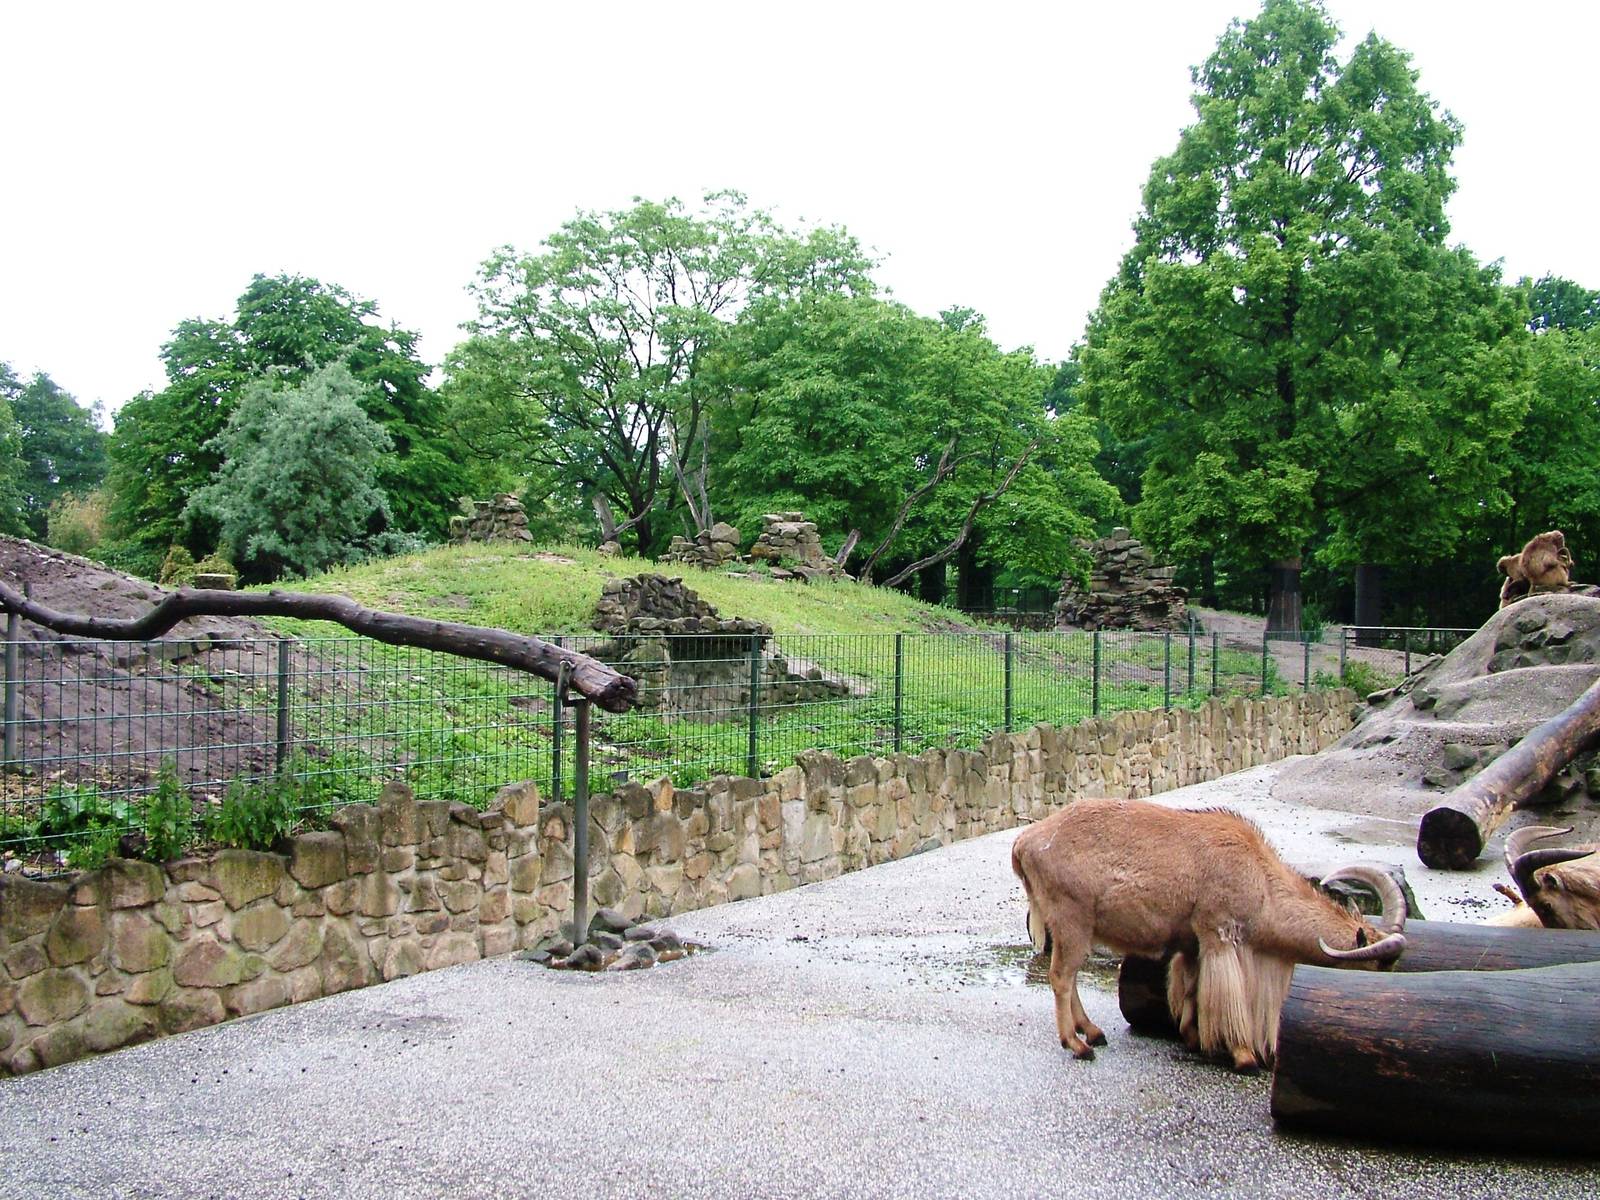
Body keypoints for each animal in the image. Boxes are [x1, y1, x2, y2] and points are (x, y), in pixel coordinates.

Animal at [1011, 797, 1405, 1073]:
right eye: (1379, 964)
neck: (1261, 881)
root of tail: (1024, 843)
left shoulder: (1190, 944)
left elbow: (1190, 989)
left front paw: (1191, 1037)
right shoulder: (1218, 933)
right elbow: (1226, 996)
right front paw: (1244, 1056)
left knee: (1071, 976)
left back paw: (1093, 1032)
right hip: (1072, 919)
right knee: (1062, 977)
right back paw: (1077, 1045)